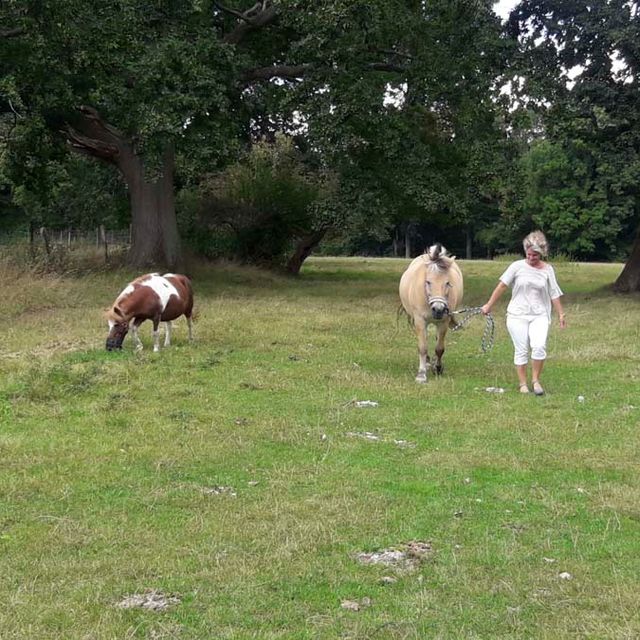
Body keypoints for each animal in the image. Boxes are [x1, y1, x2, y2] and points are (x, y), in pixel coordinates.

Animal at [398, 245, 462, 382]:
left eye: (447, 283)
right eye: (428, 282)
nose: (438, 309)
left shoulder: (444, 322)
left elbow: (439, 349)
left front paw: (438, 368)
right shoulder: (420, 320)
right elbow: (422, 347)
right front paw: (421, 374)